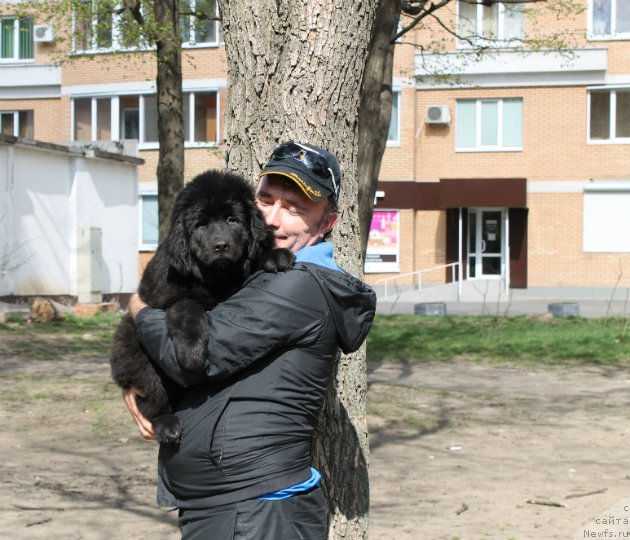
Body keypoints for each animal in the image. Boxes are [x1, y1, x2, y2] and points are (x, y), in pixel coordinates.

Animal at [110, 169, 294, 442]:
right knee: (150, 396)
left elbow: (254, 257)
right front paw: (192, 354)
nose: (221, 246)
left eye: (232, 220)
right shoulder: (166, 298)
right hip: (133, 349)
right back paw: (166, 424)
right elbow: (188, 307)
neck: (217, 277)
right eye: (201, 225)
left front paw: (275, 255)